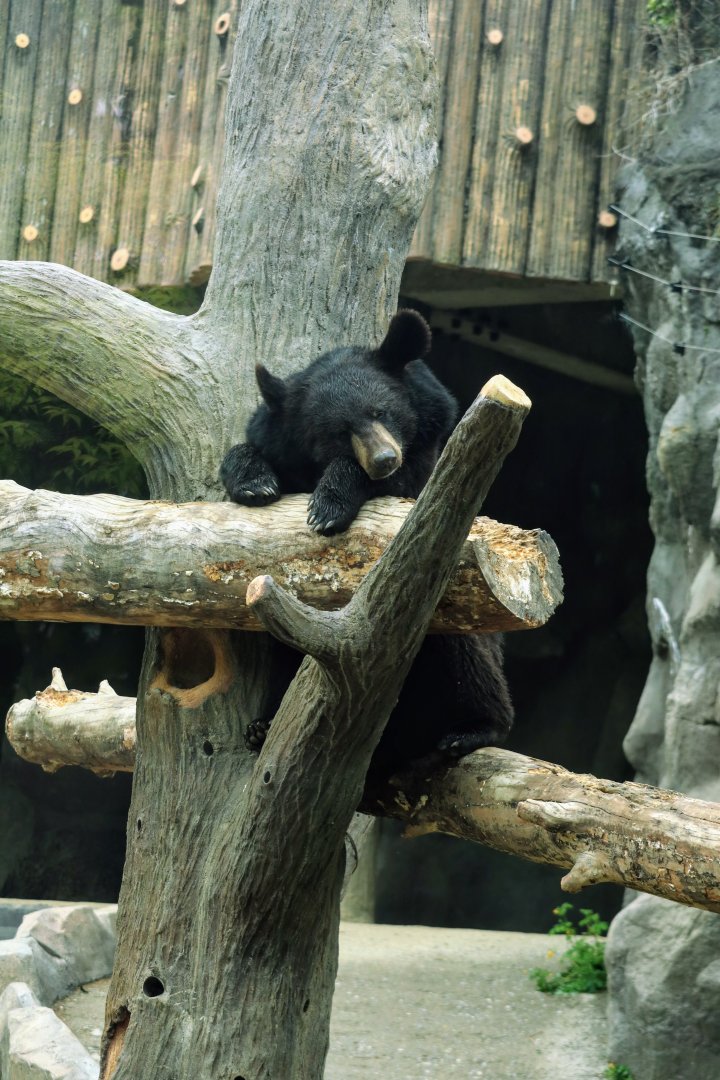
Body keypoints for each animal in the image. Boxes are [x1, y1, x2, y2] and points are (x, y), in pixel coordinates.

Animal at [220, 309, 513, 781]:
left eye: (381, 411)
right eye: (339, 431)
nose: (383, 459)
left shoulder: (426, 455)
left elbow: (405, 487)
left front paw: (328, 506)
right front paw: (254, 482)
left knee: (466, 657)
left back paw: (472, 729)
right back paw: (262, 726)